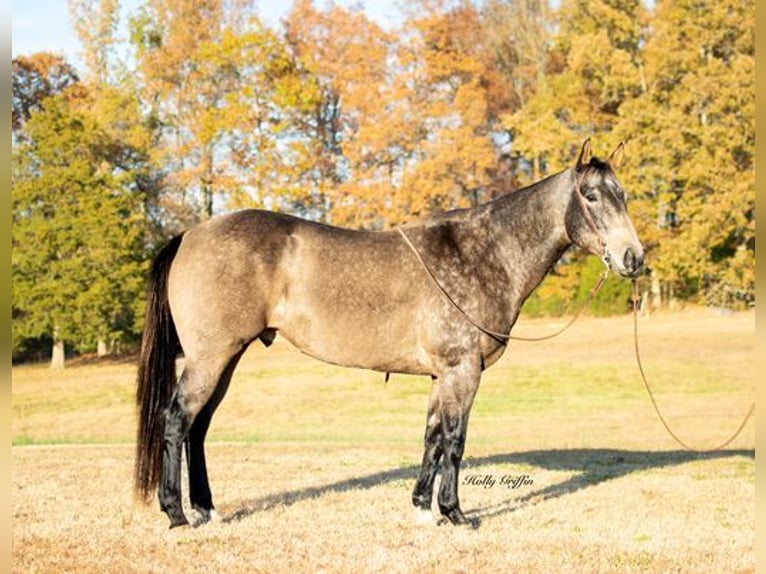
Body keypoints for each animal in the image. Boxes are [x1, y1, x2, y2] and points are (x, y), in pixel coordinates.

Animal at [134, 140, 648, 532]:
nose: (633, 258)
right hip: (210, 358)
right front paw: (455, 514)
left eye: (622, 195)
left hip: (227, 358)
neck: (483, 253)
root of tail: (190, 234)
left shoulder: (442, 375)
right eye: (591, 196)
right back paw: (177, 514)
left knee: (199, 428)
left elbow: (432, 436)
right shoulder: (463, 371)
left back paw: (206, 509)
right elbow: (455, 440)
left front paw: (422, 508)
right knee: (177, 421)